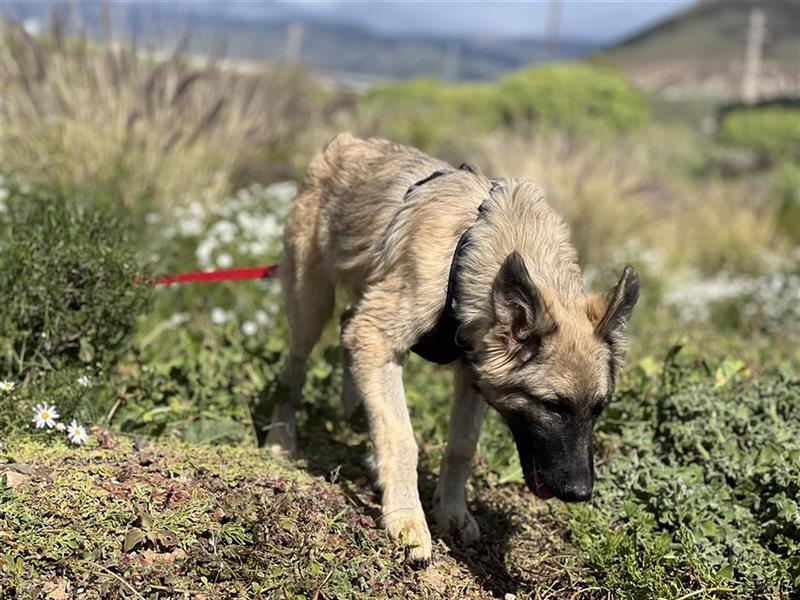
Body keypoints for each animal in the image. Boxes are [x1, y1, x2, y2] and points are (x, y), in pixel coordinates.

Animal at [266, 134, 640, 564]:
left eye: (598, 409)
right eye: (551, 406)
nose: (580, 493)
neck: (472, 250)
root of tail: (346, 142)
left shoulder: (472, 366)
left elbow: (462, 444)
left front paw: (452, 511)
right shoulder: (378, 334)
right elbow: (402, 436)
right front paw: (407, 520)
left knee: (348, 329)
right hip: (310, 304)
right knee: (295, 369)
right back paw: (281, 438)